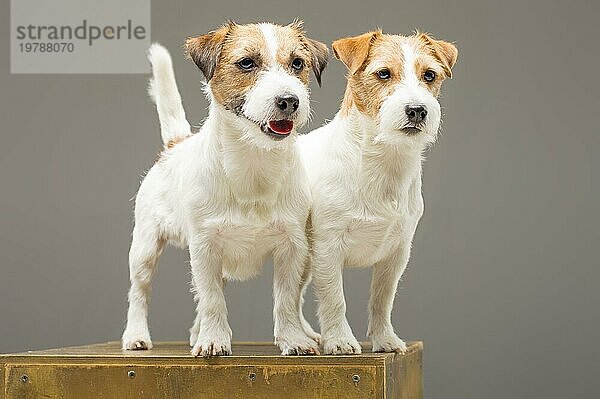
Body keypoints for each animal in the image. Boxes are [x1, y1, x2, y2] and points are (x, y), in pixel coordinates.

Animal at [122, 21, 328, 360]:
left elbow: (286, 298)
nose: (289, 100)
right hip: (145, 248)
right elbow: (212, 299)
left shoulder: (292, 247)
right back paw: (137, 335)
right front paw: (214, 340)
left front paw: (293, 339)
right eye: (247, 63)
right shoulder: (205, 247)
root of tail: (174, 145)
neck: (253, 165)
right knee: (140, 291)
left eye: (298, 63)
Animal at [300, 32, 460, 356]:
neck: (383, 161)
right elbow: (334, 298)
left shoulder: (396, 254)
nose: (417, 110)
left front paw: (385, 339)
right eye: (383, 73)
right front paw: (340, 341)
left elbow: (382, 300)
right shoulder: (328, 249)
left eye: (429, 75)